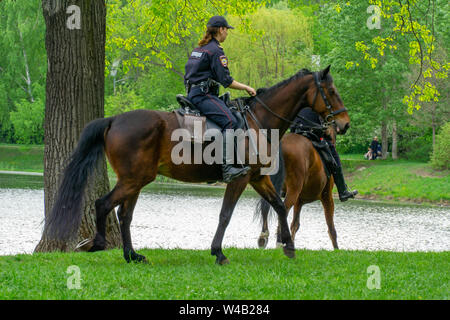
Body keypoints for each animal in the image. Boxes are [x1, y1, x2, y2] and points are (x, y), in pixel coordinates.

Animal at [44, 63, 348, 264]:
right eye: (332, 91)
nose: (344, 124)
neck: (258, 121)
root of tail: (114, 119)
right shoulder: (239, 179)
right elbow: (225, 215)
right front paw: (218, 252)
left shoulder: (258, 178)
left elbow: (280, 207)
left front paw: (288, 246)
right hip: (133, 180)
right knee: (103, 204)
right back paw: (99, 244)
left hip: (136, 180)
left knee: (124, 214)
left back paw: (132, 255)